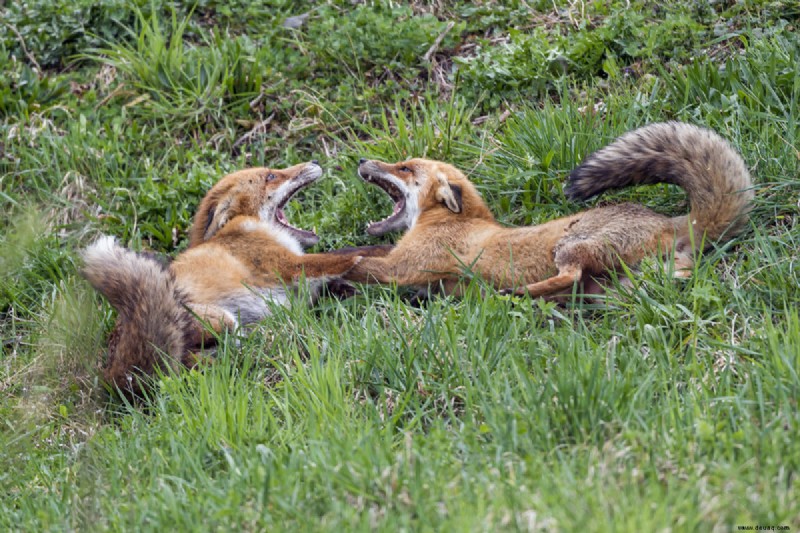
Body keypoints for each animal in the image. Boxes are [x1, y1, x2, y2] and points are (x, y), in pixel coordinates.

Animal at [82, 162, 390, 400]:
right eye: (271, 176)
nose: (314, 161)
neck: (246, 226)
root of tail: (121, 376)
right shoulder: (289, 265)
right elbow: (347, 255)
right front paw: (385, 254)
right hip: (218, 318)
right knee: (220, 353)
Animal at [346, 120, 752, 300]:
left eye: (404, 168)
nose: (362, 159)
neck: (448, 220)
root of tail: (668, 221)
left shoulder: (403, 266)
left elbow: (356, 264)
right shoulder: (399, 258)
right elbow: (360, 252)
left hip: (571, 245)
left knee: (569, 275)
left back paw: (516, 292)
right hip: (630, 276)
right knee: (679, 275)